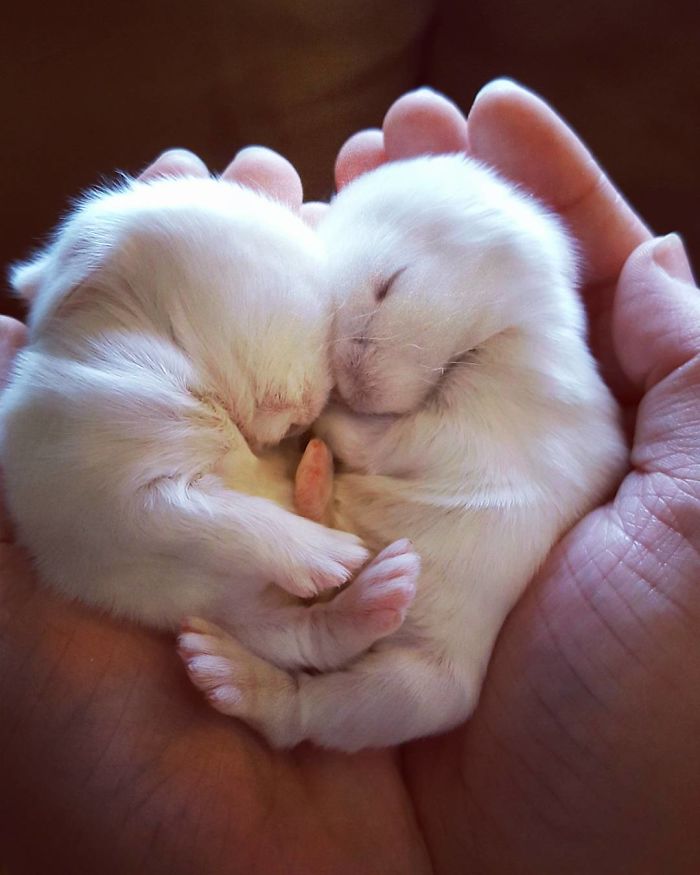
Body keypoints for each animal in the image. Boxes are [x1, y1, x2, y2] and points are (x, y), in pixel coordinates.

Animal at [0, 175, 420, 673]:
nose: (312, 414)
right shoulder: (124, 494)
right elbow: (220, 520)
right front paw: (334, 554)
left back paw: (382, 579)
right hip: (227, 612)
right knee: (298, 634)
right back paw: (374, 581)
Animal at [182, 154, 628, 751]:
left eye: (387, 287)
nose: (347, 385)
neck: (499, 333)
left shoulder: (478, 422)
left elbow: (384, 440)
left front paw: (327, 415)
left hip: (416, 691)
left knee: (312, 710)